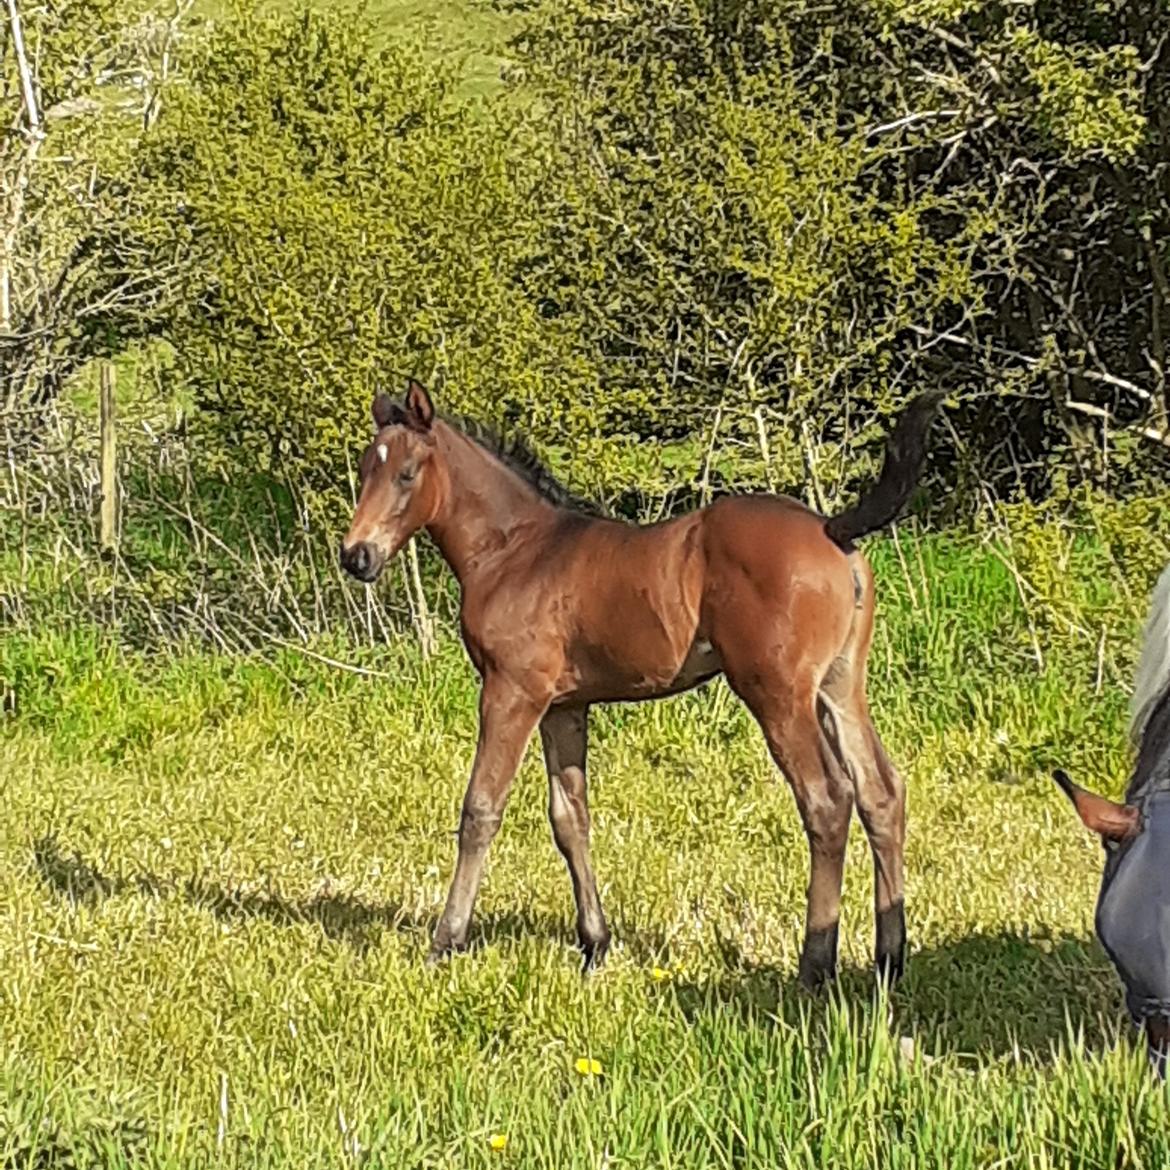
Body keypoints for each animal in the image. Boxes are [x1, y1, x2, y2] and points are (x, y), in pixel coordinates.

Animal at [339, 383, 940, 987]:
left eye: (407, 474)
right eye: (366, 469)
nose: (356, 556)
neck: (514, 551)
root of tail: (831, 528)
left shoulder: (512, 693)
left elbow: (480, 809)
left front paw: (445, 942)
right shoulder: (563, 706)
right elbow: (569, 818)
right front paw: (594, 947)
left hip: (778, 694)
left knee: (827, 800)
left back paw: (814, 966)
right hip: (839, 686)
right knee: (881, 793)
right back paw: (890, 959)